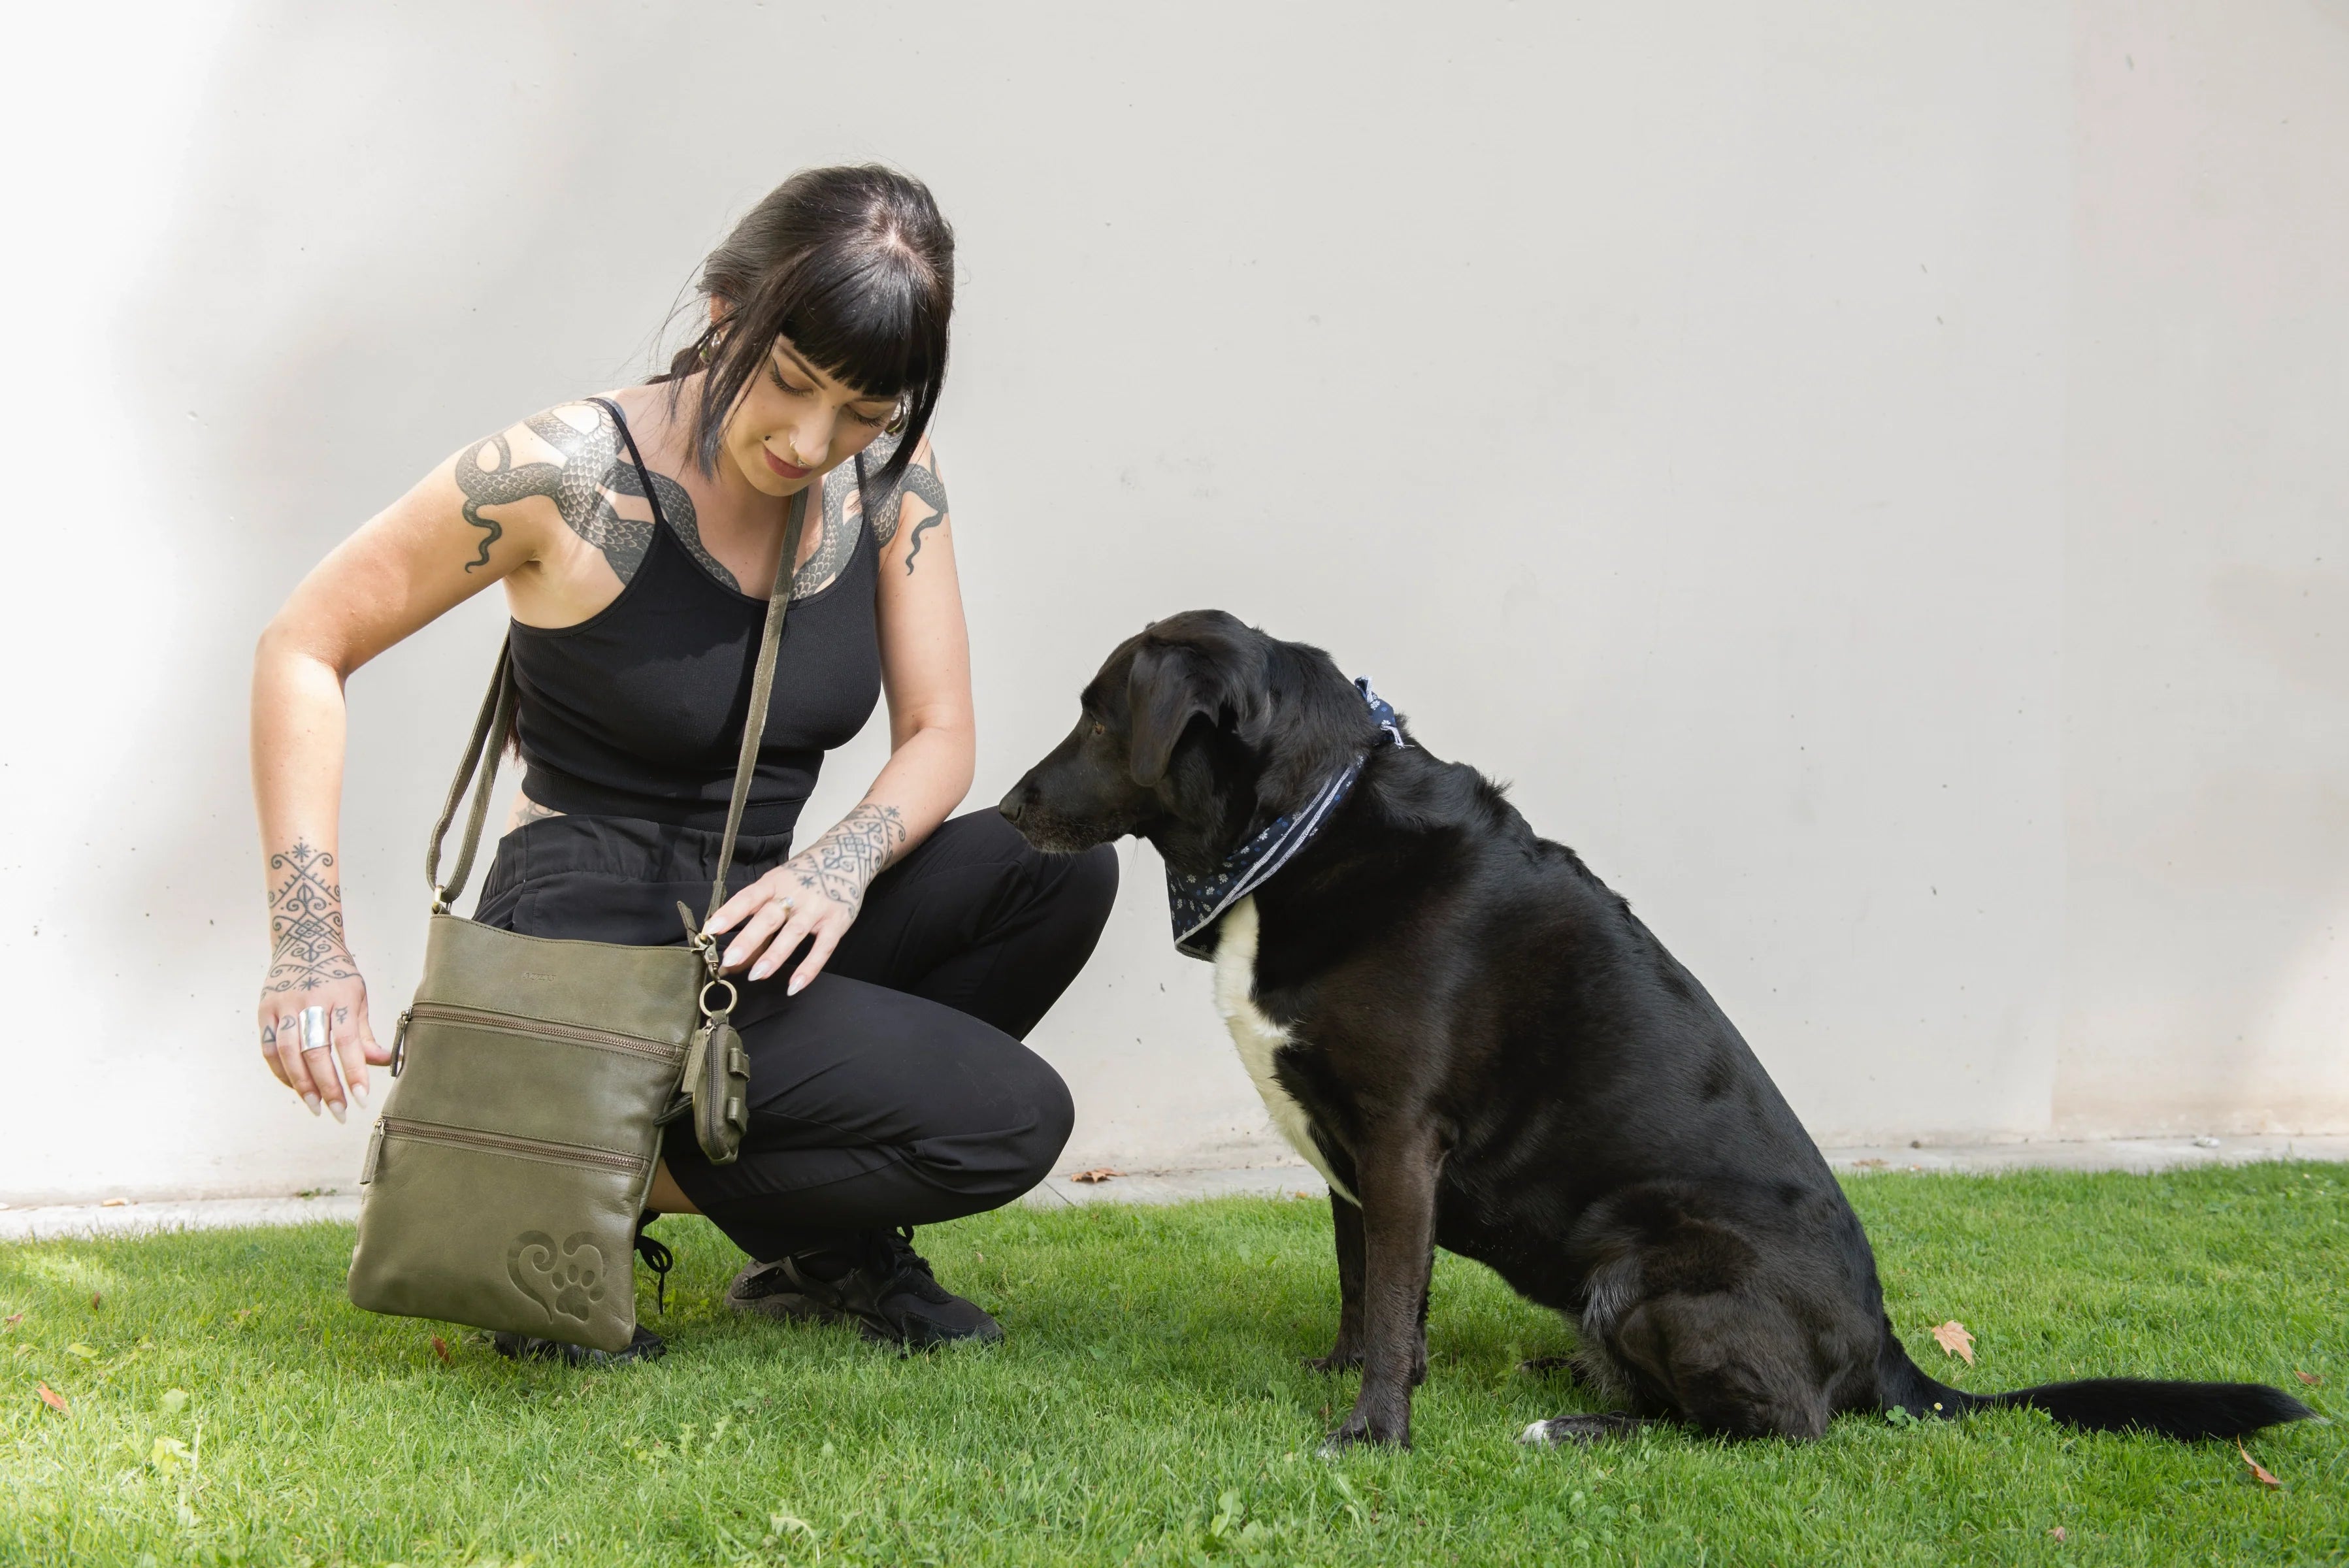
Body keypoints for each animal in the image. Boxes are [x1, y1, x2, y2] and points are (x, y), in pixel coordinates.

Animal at [996, 605, 2311, 1455]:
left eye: (1100, 719)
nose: (1004, 807)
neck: (1301, 828)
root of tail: (1885, 1349)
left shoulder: (1400, 1137)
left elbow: (1386, 1296)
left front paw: (1370, 1435)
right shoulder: (1351, 1156)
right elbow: (1371, 1290)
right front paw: (1357, 1380)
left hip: (1649, 1268)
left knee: (1780, 1429)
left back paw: (1578, 1422)